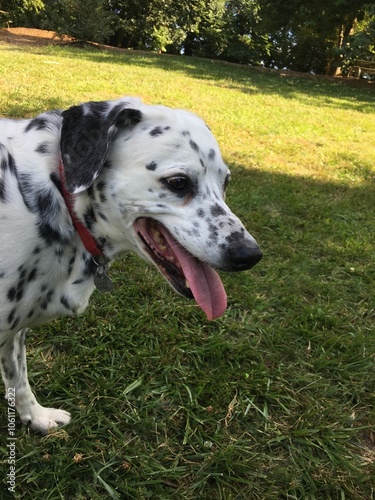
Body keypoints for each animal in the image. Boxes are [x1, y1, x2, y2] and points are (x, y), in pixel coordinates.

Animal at [0, 96, 262, 434]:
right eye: (178, 182)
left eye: (226, 182)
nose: (249, 254)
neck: (58, 193)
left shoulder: (14, 331)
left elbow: (18, 376)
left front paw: (35, 415)